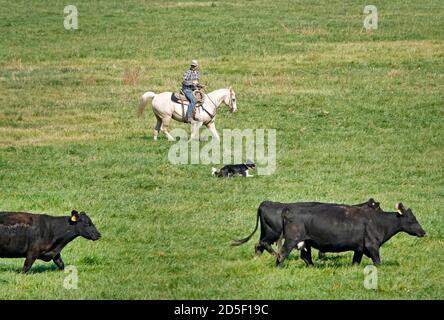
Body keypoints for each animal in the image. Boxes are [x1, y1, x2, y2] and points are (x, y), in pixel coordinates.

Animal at [231, 196, 380, 258]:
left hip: (265, 233)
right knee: (264, 244)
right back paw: (275, 255)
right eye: (378, 208)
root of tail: (266, 202)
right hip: (272, 233)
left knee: (258, 245)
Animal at [278, 202, 426, 268]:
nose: (423, 232)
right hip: (292, 239)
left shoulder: (359, 248)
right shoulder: (372, 245)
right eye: (412, 220)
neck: (379, 222)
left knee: (306, 257)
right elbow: (377, 261)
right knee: (282, 254)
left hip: (306, 242)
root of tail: (290, 209)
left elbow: (356, 262)